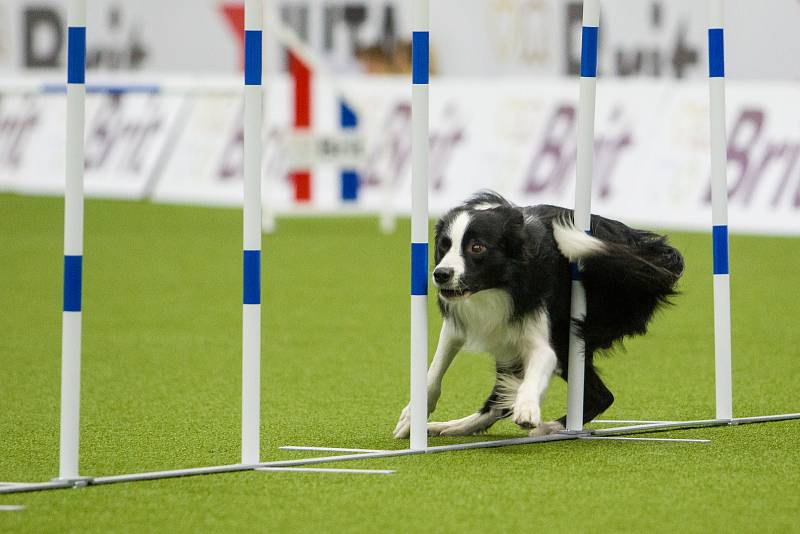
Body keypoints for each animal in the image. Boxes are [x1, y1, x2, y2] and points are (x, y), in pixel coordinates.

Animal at [394, 193, 680, 440]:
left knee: (600, 395)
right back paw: (456, 426)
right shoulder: (462, 323)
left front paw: (527, 408)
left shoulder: (540, 336)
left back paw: (549, 428)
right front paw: (411, 416)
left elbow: (538, 364)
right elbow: (434, 371)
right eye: (444, 247)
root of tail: (645, 245)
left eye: (477, 247)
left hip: (575, 331)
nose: (441, 274)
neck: (498, 285)